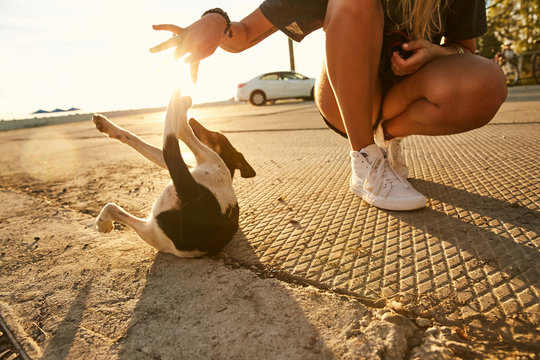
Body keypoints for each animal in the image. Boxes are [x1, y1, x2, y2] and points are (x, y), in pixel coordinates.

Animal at [92, 90, 255, 258]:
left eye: (215, 135)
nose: (194, 120)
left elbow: (178, 134)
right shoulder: (185, 165)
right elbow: (136, 140)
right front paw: (107, 127)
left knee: (183, 130)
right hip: (154, 232)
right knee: (113, 208)